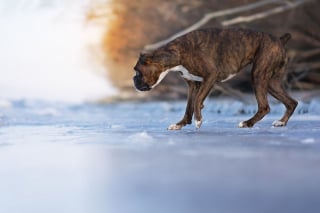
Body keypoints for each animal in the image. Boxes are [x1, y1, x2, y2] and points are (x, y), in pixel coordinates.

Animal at [132, 28, 298, 130]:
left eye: (138, 72)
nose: (133, 80)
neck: (177, 53)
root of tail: (279, 39)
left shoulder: (211, 76)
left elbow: (197, 101)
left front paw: (198, 120)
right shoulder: (193, 84)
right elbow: (189, 106)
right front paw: (180, 124)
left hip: (258, 76)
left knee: (264, 106)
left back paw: (247, 123)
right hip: (271, 82)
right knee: (292, 102)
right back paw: (281, 122)